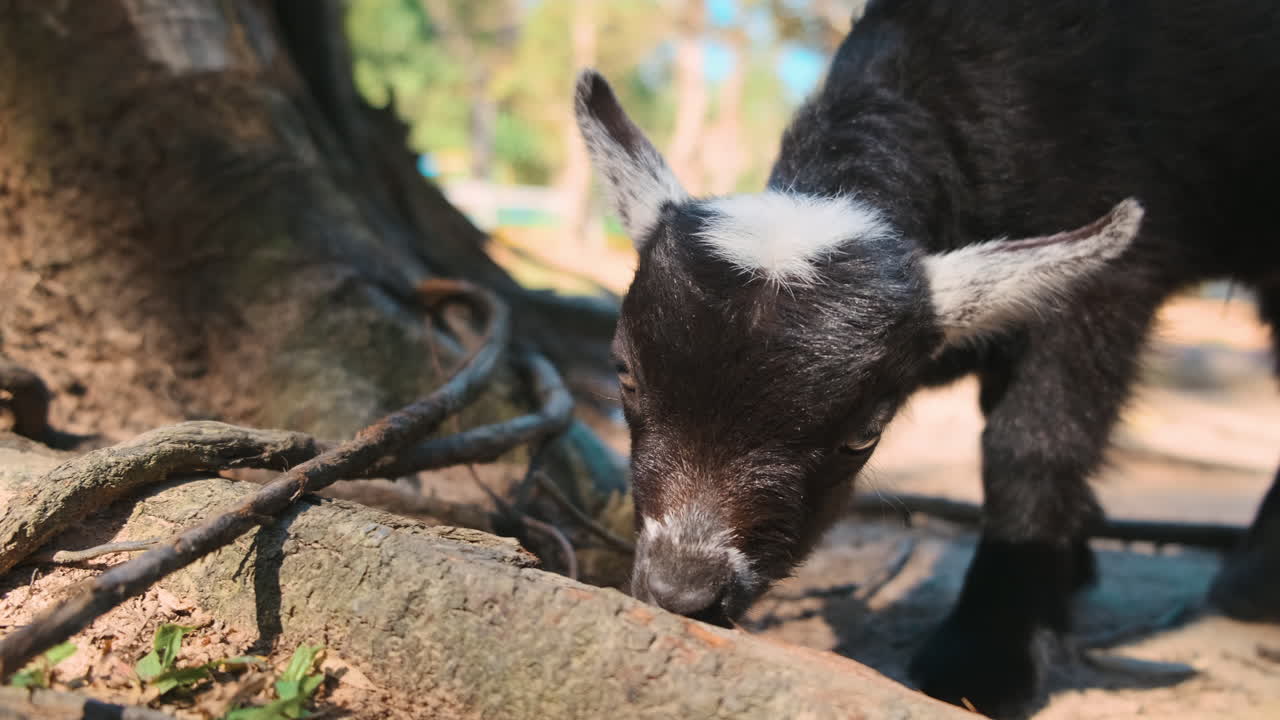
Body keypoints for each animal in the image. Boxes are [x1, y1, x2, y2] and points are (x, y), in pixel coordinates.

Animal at [573, 0, 1280, 716]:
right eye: (624, 373)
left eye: (865, 433)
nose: (682, 591)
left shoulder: (1116, 283)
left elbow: (1034, 444)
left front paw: (987, 659)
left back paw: (1251, 589)